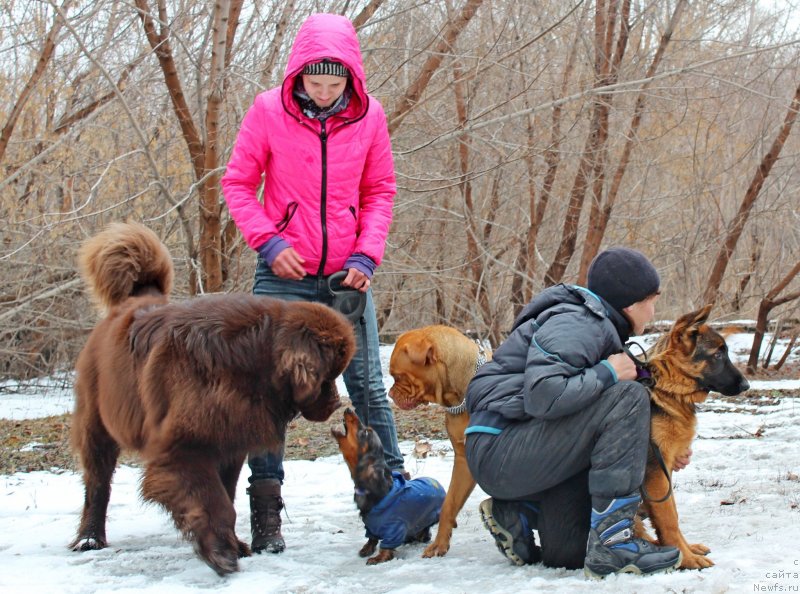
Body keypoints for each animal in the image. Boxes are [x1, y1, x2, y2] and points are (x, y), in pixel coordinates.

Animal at [69, 220, 356, 572]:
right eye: (328, 375)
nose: (336, 402)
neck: (250, 361)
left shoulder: (229, 442)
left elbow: (227, 497)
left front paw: (234, 544)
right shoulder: (183, 447)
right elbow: (212, 499)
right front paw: (220, 552)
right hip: (97, 424)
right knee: (97, 485)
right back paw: (89, 538)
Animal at [328, 408, 446, 564]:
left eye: (366, 432)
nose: (348, 409)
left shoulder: (394, 527)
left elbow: (386, 545)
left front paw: (378, 557)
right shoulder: (370, 526)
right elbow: (371, 538)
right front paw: (367, 549)